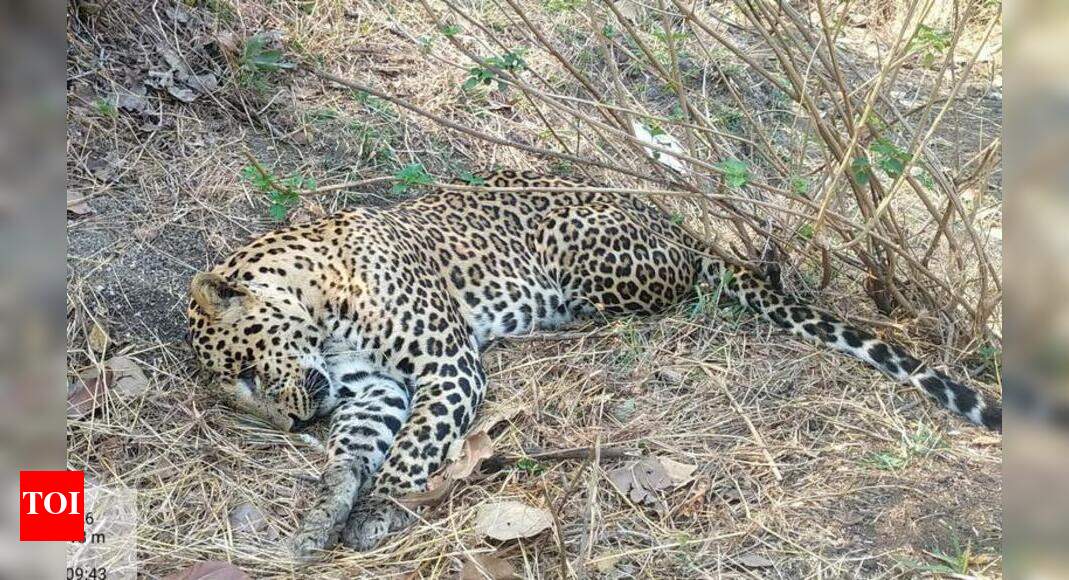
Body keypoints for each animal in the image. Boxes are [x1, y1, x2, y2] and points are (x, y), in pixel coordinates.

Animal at [186, 169, 1001, 558]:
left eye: (247, 370)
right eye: (238, 393)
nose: (295, 420)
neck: (321, 305)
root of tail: (674, 223)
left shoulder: (448, 366)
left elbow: (412, 453)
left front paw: (380, 510)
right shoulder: (372, 389)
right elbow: (351, 455)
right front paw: (324, 517)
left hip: (588, 258)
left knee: (682, 287)